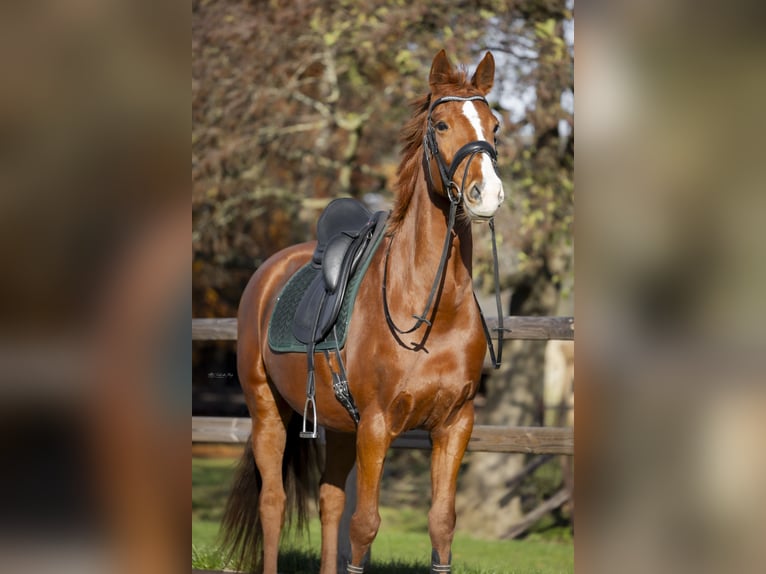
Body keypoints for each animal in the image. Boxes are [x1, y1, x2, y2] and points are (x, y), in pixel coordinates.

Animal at [222, 50, 508, 574]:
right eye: (440, 125)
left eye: (494, 126)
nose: (487, 195)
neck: (431, 310)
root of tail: (269, 271)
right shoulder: (377, 426)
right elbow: (365, 526)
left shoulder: (455, 425)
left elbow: (441, 525)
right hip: (267, 411)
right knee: (273, 503)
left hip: (337, 426)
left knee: (329, 501)